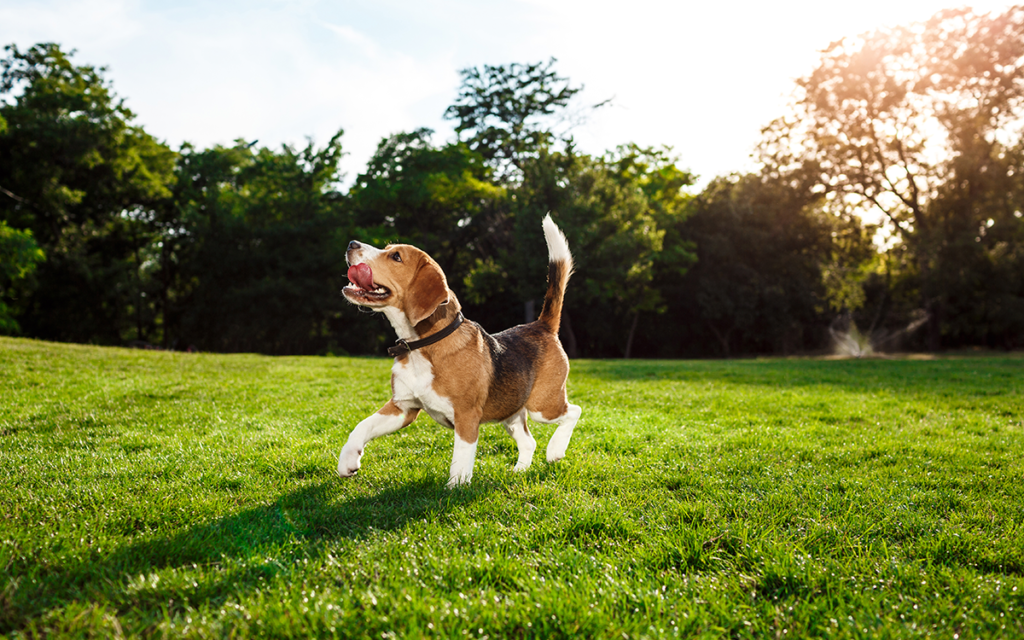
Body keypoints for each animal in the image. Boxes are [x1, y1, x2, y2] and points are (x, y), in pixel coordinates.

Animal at [339, 212, 581, 483]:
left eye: (396, 257)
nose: (351, 244)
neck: (423, 346)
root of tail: (541, 325)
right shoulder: (402, 407)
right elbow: (361, 426)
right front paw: (348, 461)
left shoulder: (466, 416)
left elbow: (460, 461)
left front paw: (455, 488)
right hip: (511, 412)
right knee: (529, 442)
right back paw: (520, 470)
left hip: (543, 406)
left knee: (574, 411)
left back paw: (555, 450)